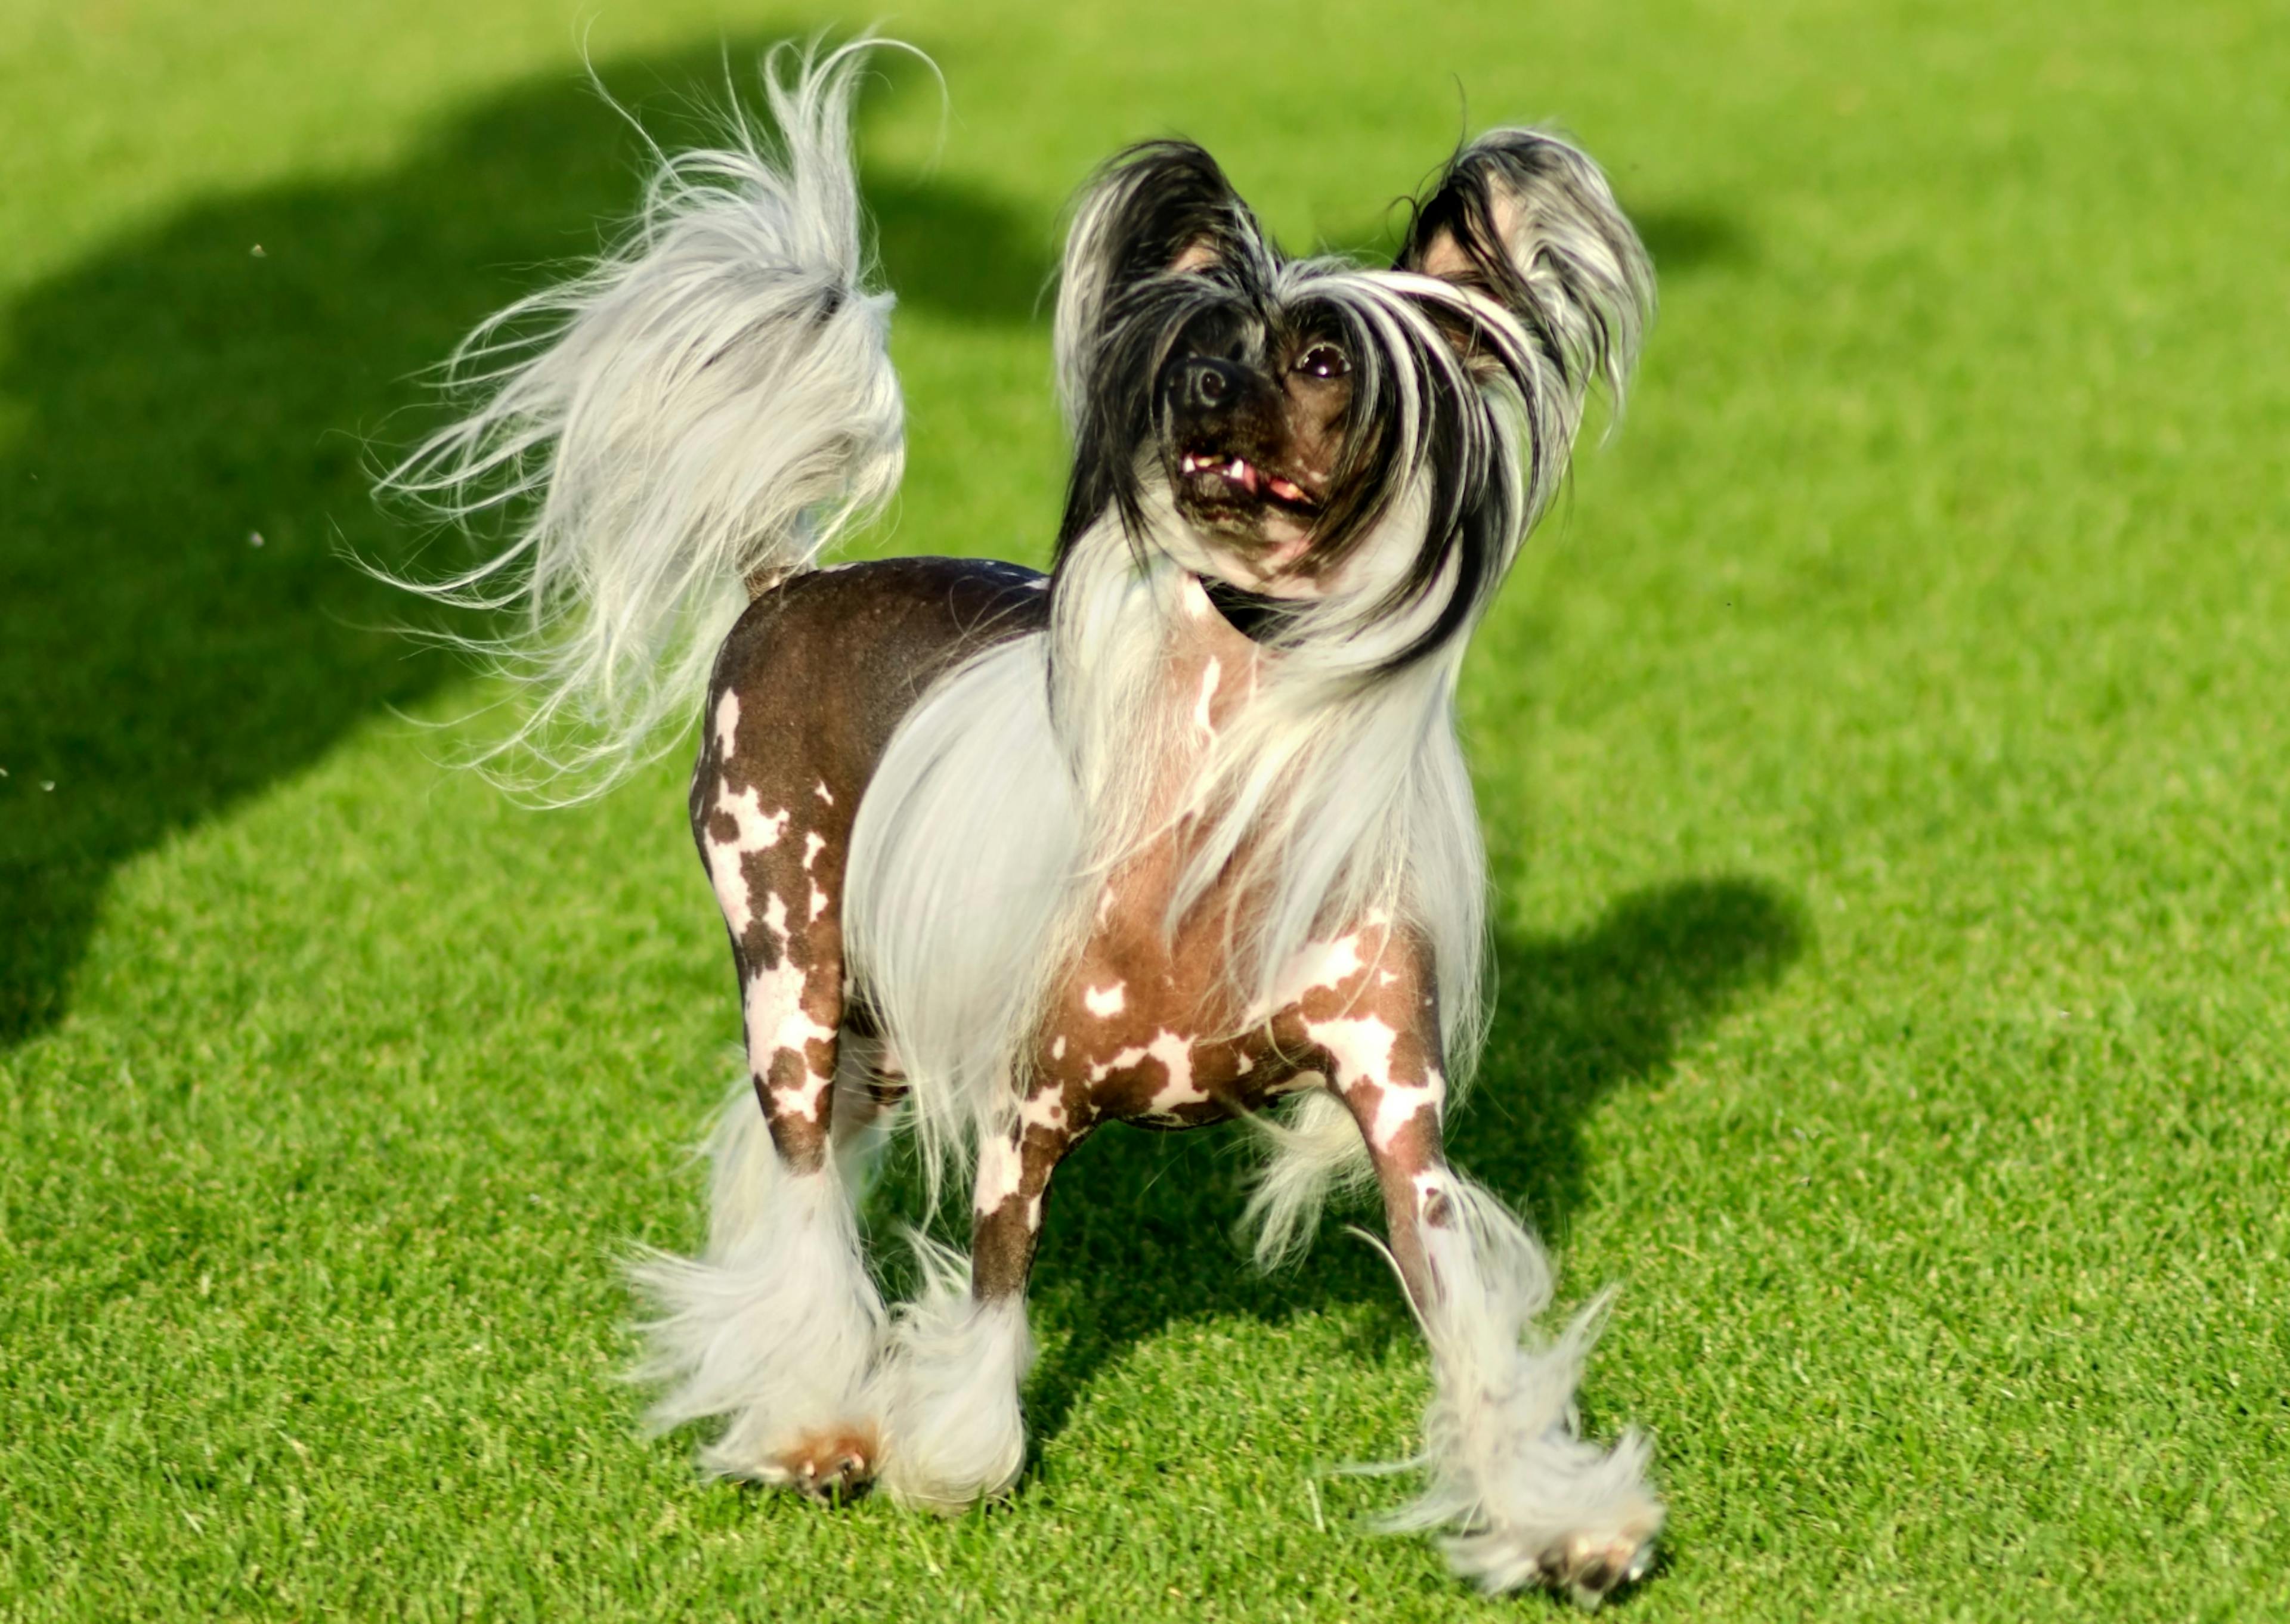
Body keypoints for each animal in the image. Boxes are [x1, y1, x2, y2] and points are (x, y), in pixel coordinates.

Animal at [380, 41, 1667, 1612]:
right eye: (1197, 339)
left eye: (1318, 358)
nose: (1202, 381)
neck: (1220, 790)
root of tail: (789, 580)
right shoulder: (1023, 1105)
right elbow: (992, 1305)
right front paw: (947, 1456)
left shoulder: (1397, 1113)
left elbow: (1470, 1330)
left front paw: (1559, 1523)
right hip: (790, 961)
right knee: (800, 1186)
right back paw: (814, 1421)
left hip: (873, 1020)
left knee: (790, 1176)